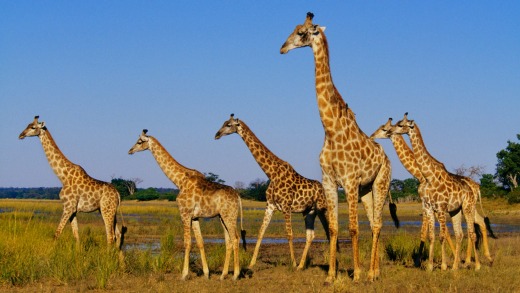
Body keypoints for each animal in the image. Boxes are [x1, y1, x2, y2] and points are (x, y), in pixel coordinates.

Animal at [18, 116, 125, 246]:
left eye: (33, 127)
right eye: (27, 125)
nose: (21, 135)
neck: (63, 176)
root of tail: (118, 194)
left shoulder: (68, 207)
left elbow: (57, 234)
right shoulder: (73, 209)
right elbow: (76, 235)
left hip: (106, 209)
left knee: (110, 236)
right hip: (110, 210)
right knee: (118, 234)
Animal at [129, 129, 245, 280]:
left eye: (139, 141)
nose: (130, 151)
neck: (179, 181)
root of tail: (238, 196)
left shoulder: (184, 213)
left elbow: (187, 242)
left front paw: (184, 275)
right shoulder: (194, 217)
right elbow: (200, 242)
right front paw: (206, 274)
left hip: (229, 215)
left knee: (235, 238)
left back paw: (235, 275)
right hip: (222, 217)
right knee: (229, 241)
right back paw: (223, 275)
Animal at [214, 113, 330, 270]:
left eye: (229, 125)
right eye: (224, 122)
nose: (216, 135)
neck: (271, 173)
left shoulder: (286, 206)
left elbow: (289, 234)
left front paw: (292, 263)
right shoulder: (270, 206)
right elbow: (261, 233)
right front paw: (251, 263)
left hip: (323, 209)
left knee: (330, 231)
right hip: (309, 212)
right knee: (311, 235)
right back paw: (302, 265)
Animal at [280, 12, 394, 282]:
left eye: (302, 32)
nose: (282, 48)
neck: (330, 129)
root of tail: (386, 157)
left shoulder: (350, 181)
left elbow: (352, 228)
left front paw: (356, 273)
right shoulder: (330, 182)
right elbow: (332, 228)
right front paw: (331, 275)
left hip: (381, 183)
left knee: (377, 224)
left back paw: (371, 273)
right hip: (365, 191)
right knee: (373, 223)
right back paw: (373, 270)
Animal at [392, 112, 490, 270]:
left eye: (401, 125)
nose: (390, 131)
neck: (429, 176)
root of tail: (473, 188)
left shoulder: (441, 207)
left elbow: (442, 235)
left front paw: (442, 266)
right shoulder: (429, 207)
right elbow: (432, 235)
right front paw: (430, 267)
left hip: (467, 208)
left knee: (472, 232)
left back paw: (476, 265)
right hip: (456, 210)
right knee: (460, 234)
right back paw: (456, 266)